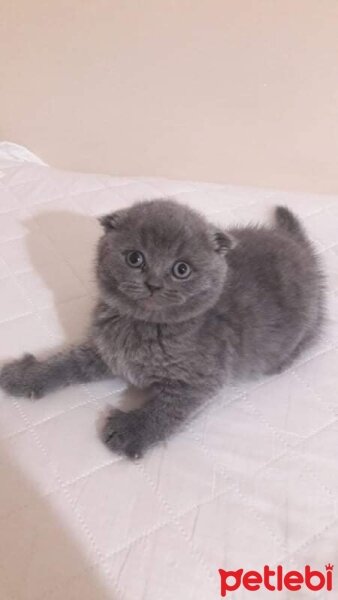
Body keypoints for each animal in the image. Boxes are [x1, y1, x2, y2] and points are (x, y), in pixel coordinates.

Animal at [0, 199, 324, 458]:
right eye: (135, 258)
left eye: (182, 269)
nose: (153, 284)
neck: (142, 326)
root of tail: (298, 246)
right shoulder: (107, 351)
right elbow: (66, 362)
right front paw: (27, 375)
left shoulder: (200, 378)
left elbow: (167, 409)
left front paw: (131, 431)